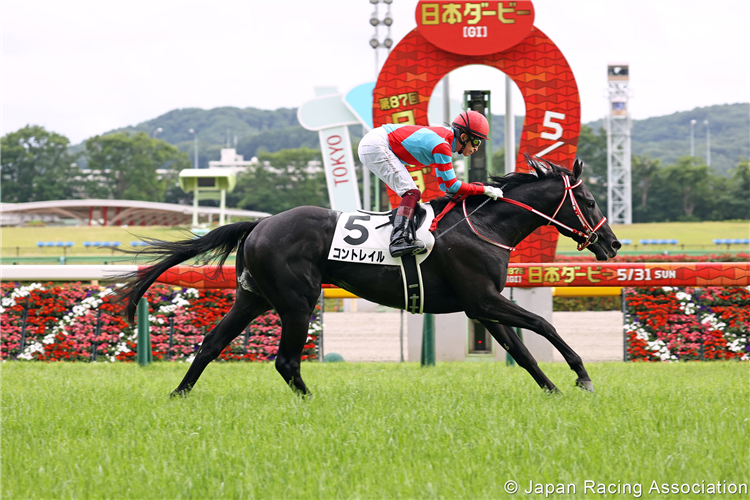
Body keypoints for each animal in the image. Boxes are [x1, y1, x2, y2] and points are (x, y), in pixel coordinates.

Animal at [119, 156, 624, 394]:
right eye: (591, 201)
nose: (613, 244)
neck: (484, 227)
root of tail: (258, 225)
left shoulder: (480, 307)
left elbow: (522, 352)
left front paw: (553, 390)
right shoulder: (482, 300)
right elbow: (542, 326)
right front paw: (582, 377)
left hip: (253, 298)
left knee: (211, 344)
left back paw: (178, 396)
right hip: (297, 301)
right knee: (285, 361)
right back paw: (313, 404)